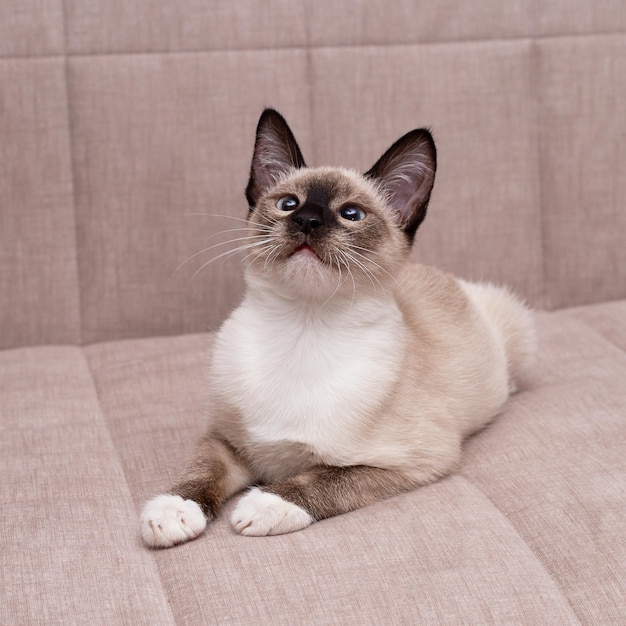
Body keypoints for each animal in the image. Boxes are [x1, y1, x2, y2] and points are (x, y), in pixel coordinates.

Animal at [139, 108, 532, 544]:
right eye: (288, 204)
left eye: (351, 214)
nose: (308, 220)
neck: (303, 331)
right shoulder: (225, 439)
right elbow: (200, 472)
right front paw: (173, 511)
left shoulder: (415, 462)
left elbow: (323, 480)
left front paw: (266, 505)